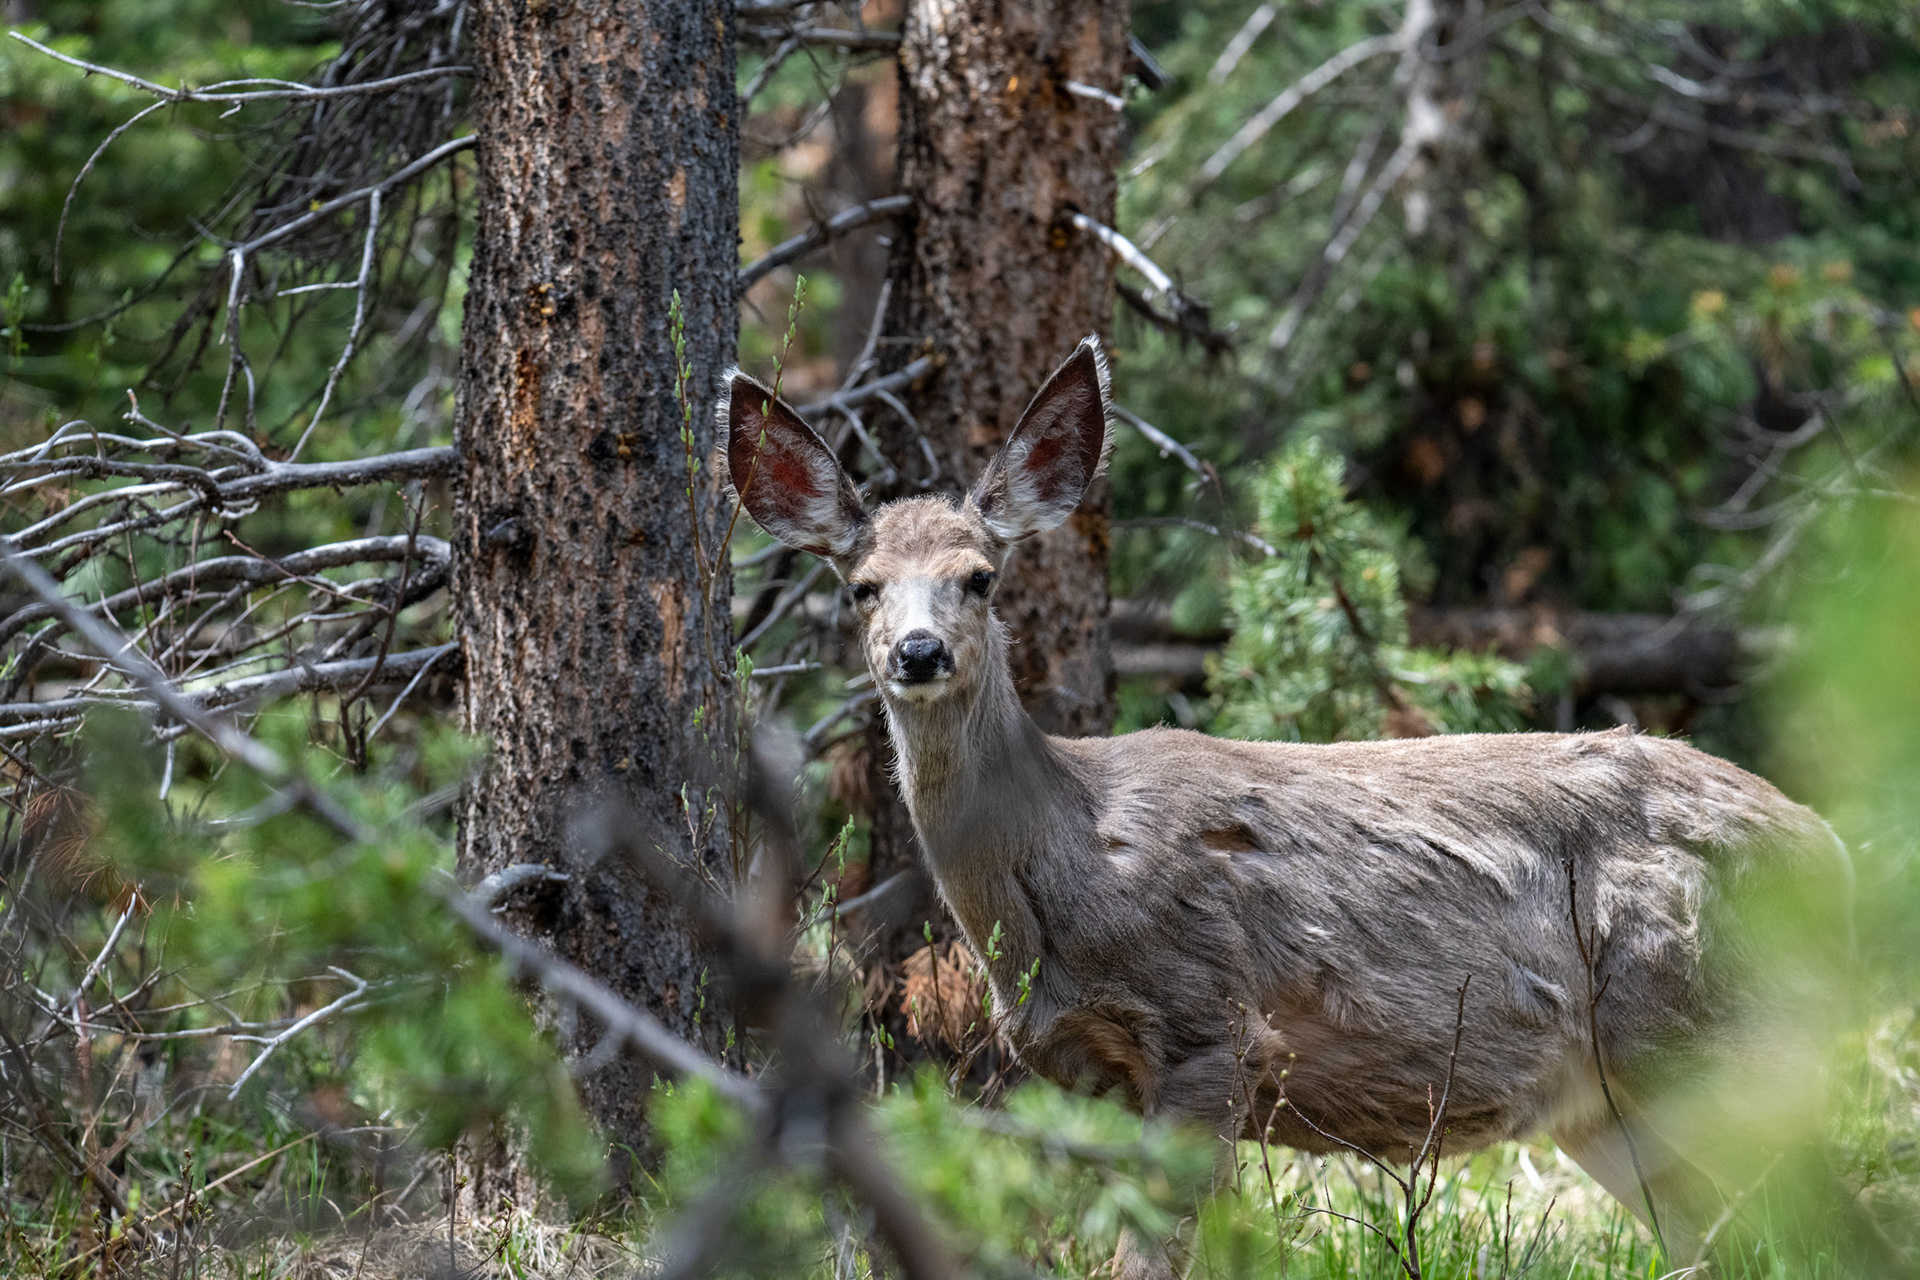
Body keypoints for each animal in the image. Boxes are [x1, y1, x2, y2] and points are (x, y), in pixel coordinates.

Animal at [720, 338, 1860, 1276]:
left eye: (980, 576)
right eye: (863, 584)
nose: (919, 652)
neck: (1065, 854)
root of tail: (1831, 849)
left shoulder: (1209, 1026)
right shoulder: (1082, 1072)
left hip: (1700, 1023)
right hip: (1619, 1102)